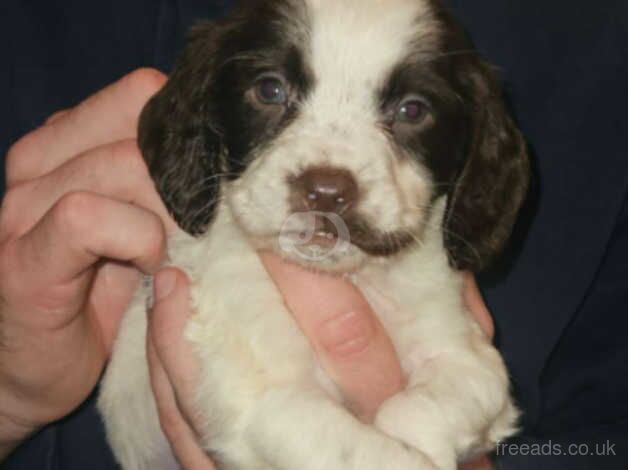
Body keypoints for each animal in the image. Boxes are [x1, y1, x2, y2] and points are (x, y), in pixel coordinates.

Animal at [98, 0, 528, 468]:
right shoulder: (266, 401)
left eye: (412, 110)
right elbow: (352, 446)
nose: (326, 191)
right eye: (269, 90)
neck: (354, 279)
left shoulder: (470, 359)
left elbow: (415, 408)